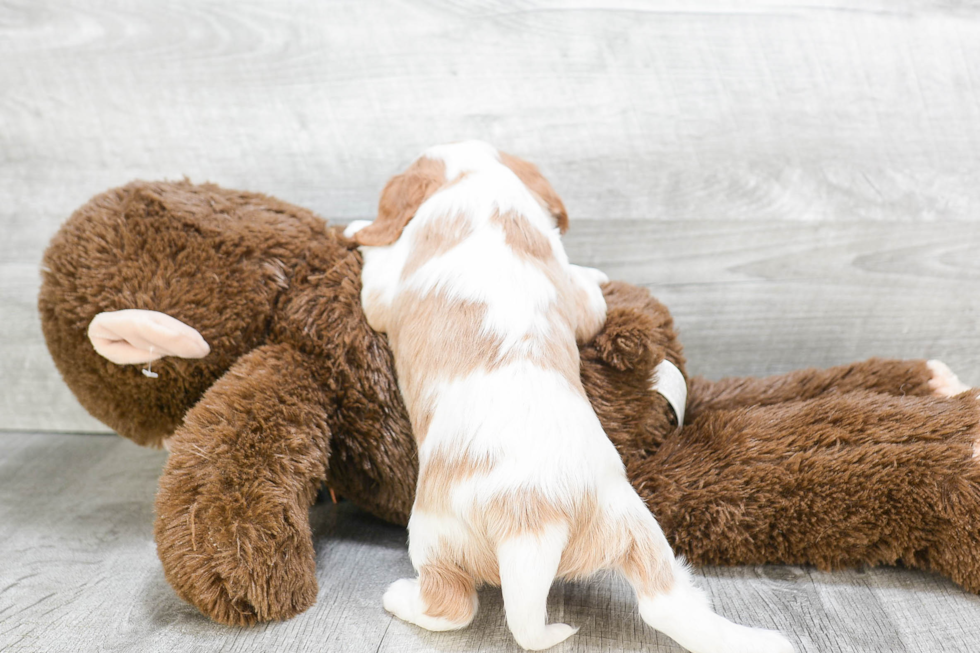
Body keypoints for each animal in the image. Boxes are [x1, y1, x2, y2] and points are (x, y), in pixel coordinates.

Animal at [348, 143, 792, 652]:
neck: (482, 188)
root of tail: (536, 525)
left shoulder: (383, 295)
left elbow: (376, 267)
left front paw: (356, 231)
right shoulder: (576, 298)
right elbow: (589, 296)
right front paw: (594, 272)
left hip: (434, 537)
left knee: (453, 608)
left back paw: (402, 598)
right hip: (636, 528)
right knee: (666, 602)